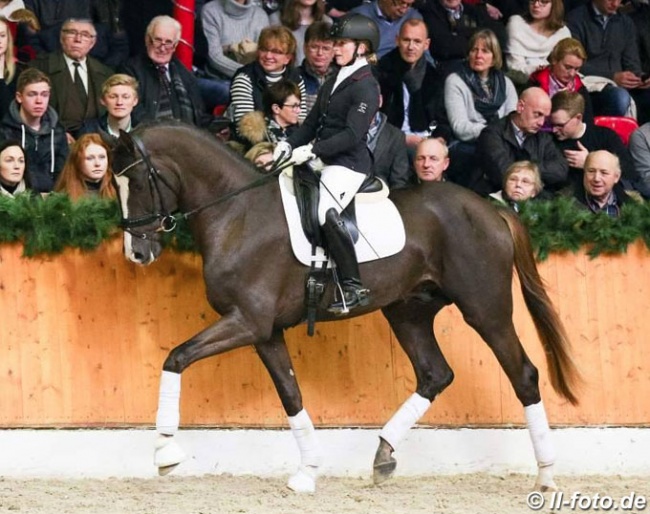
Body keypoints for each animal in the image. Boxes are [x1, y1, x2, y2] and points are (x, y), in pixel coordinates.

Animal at [110, 121, 576, 492]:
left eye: (139, 182)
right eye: (115, 185)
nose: (137, 253)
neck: (237, 213)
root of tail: (492, 210)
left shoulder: (247, 322)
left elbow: (176, 357)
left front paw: (165, 452)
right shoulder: (264, 331)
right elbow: (290, 394)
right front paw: (307, 472)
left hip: (485, 309)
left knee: (523, 376)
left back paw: (547, 475)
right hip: (408, 311)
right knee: (435, 374)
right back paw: (384, 455)